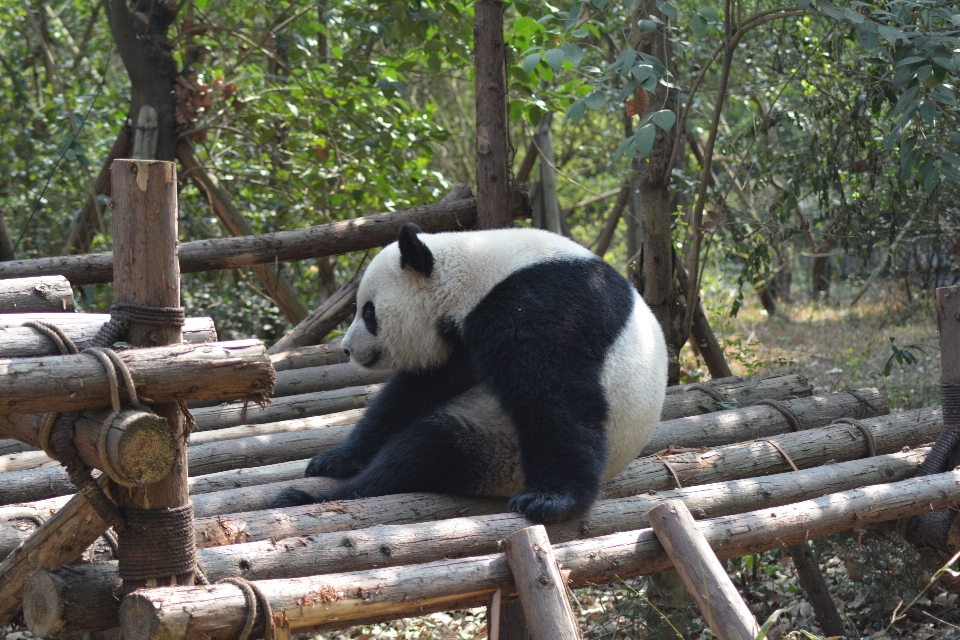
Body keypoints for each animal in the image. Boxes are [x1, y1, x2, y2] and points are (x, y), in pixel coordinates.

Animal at [272, 222, 668, 524]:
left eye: (368, 312)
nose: (347, 349)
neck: (475, 272)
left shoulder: (540, 303)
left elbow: (553, 395)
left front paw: (551, 500)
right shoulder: (458, 342)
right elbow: (416, 391)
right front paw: (337, 457)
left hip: (500, 446)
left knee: (425, 451)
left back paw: (306, 498)